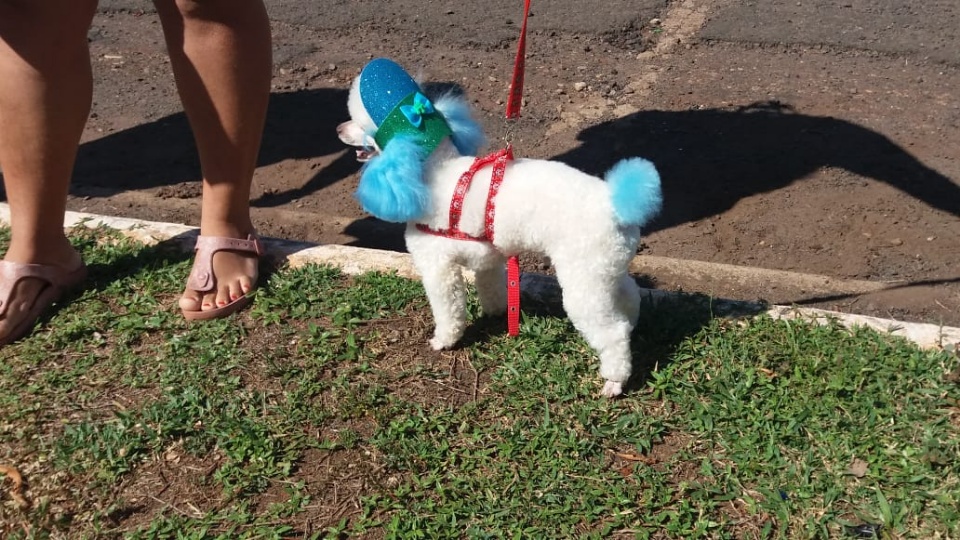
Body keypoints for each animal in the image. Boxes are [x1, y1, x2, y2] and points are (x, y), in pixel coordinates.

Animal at [336, 59, 660, 396]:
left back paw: (614, 381)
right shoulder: (487, 259)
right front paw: (496, 312)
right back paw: (632, 324)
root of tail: (618, 203)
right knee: (629, 296)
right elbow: (490, 286)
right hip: (605, 270)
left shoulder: (438, 267)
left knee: (612, 332)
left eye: (362, 124)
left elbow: (448, 309)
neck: (435, 172)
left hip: (583, 280)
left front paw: (444, 340)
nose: (338, 129)